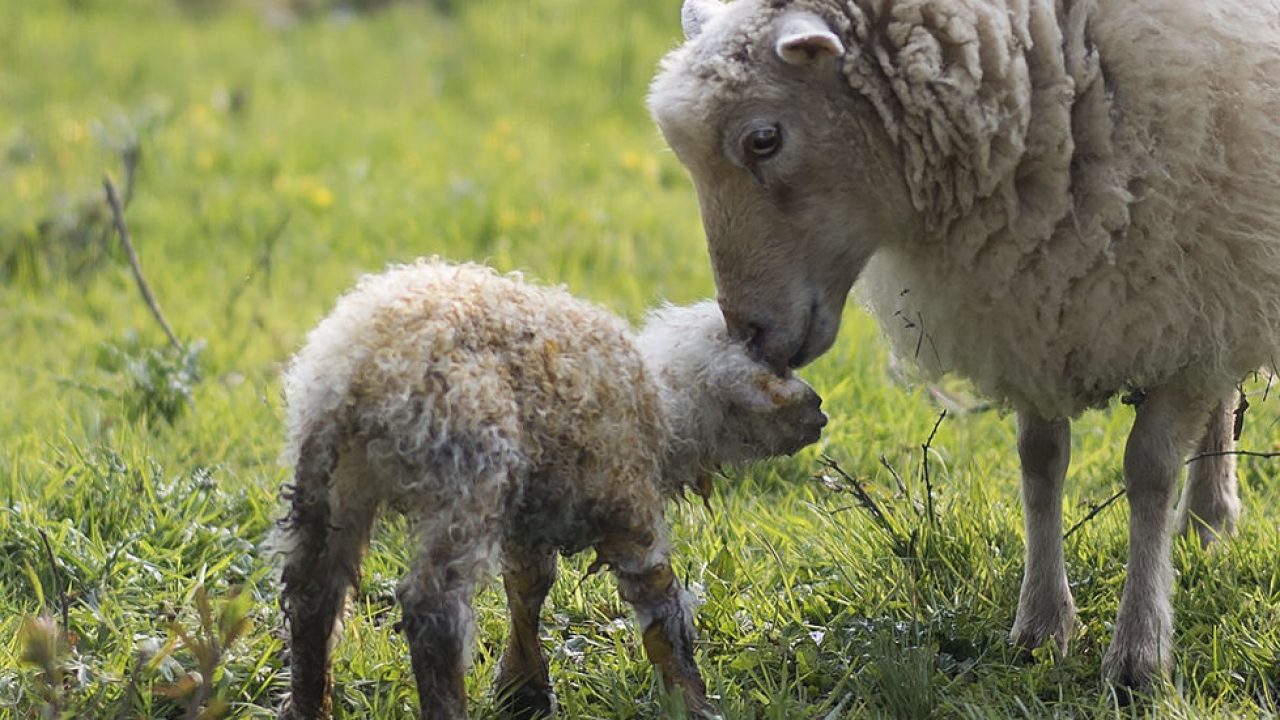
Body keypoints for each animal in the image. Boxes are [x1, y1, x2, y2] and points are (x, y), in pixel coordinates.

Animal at [275, 258, 824, 717]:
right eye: (779, 367)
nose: (820, 409)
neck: (667, 409)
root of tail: (363, 364)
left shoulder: (531, 519)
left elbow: (527, 588)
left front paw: (523, 691)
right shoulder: (630, 505)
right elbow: (661, 610)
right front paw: (694, 703)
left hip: (330, 479)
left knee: (312, 591)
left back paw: (307, 706)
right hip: (467, 473)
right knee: (433, 609)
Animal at [645, 0, 1280, 691]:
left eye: (763, 139)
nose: (749, 334)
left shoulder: (1189, 294)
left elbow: (1150, 471)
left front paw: (1139, 653)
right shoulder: (1037, 308)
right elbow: (1040, 461)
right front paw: (1041, 625)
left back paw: (1208, 514)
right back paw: (1207, 522)